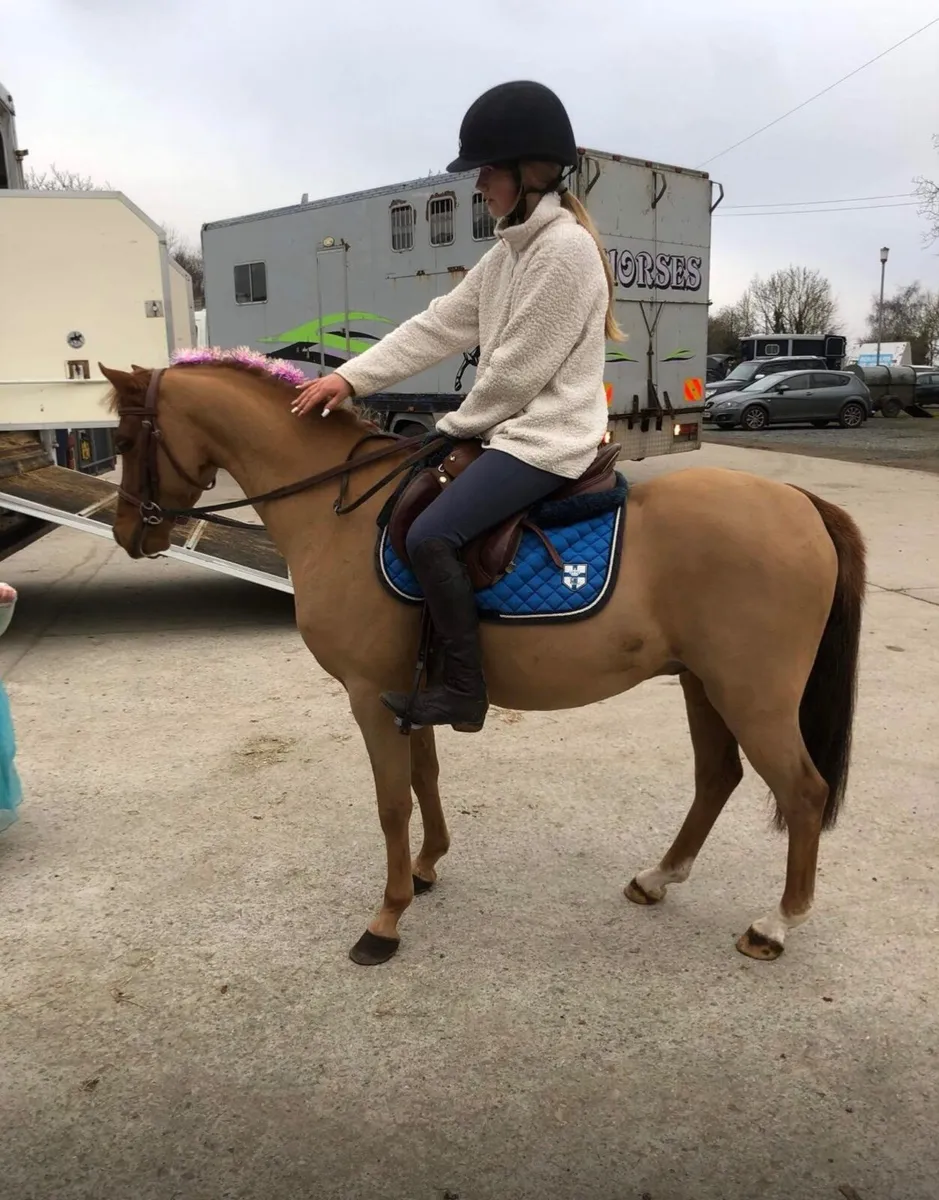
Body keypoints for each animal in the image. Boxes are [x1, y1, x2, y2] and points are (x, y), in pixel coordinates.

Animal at [100, 352, 866, 967]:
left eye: (127, 438)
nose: (130, 531)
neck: (339, 514)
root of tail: (800, 502)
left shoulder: (367, 694)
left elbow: (390, 802)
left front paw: (386, 919)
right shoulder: (408, 693)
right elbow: (425, 779)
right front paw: (427, 867)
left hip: (751, 695)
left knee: (802, 792)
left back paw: (776, 924)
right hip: (704, 685)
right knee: (716, 778)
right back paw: (658, 877)